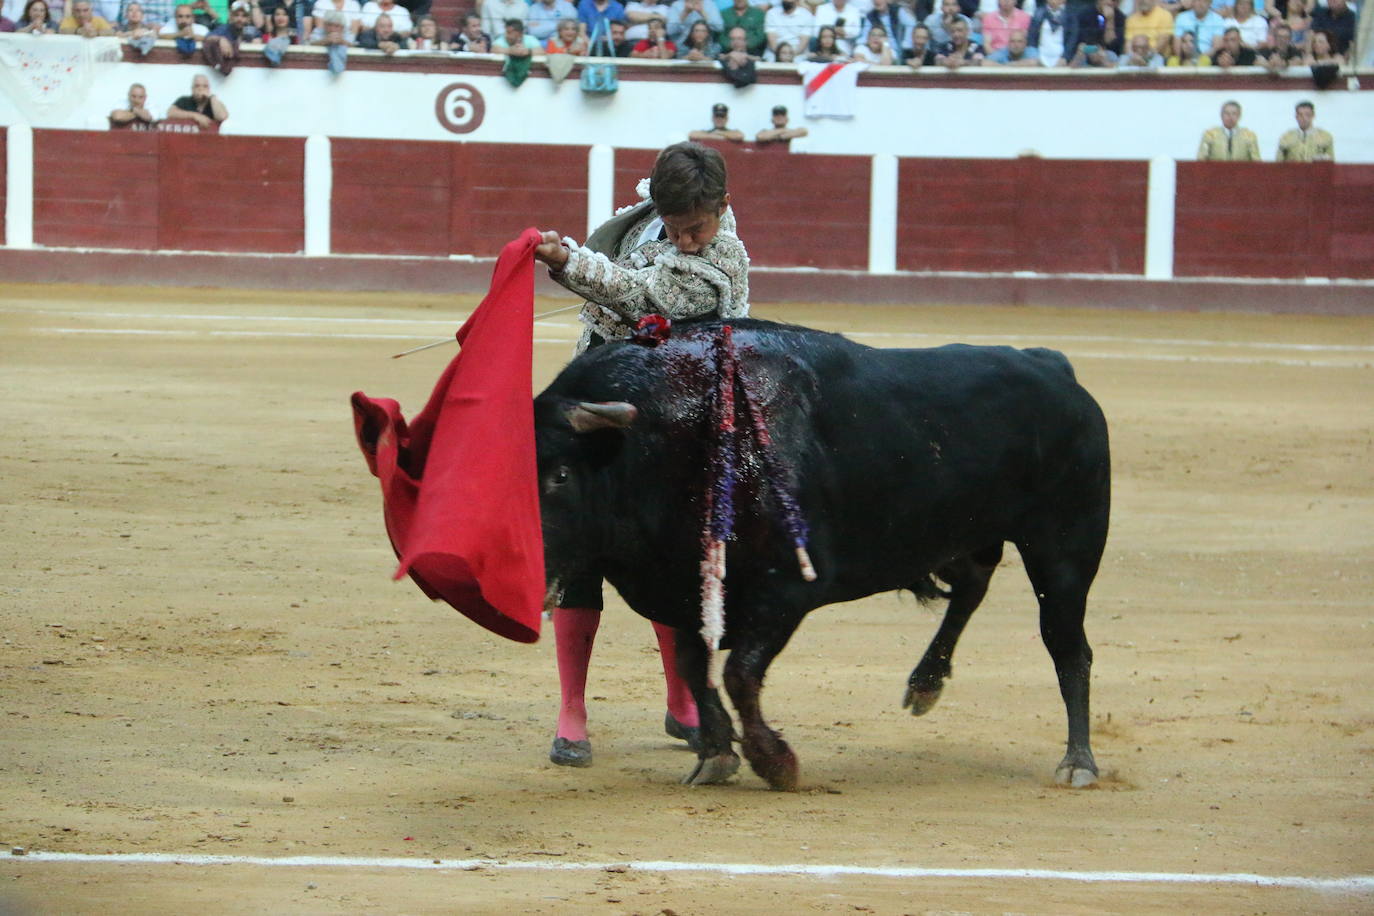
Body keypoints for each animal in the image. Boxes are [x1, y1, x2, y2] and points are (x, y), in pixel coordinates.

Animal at [530, 318, 1110, 791]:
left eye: (561, 475)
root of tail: (1050, 365)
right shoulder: (693, 593)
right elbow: (696, 667)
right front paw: (717, 755)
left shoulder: (785, 589)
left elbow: (738, 672)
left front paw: (776, 762)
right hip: (958, 531)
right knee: (972, 584)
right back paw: (924, 685)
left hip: (1064, 549)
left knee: (1068, 646)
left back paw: (1078, 762)